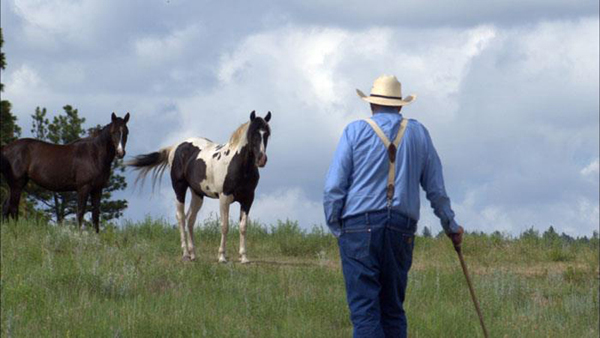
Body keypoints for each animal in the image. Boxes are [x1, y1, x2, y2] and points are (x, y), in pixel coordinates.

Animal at [0, 112, 130, 231]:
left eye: (126, 132)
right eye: (113, 132)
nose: (120, 153)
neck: (94, 154)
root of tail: (6, 148)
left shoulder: (97, 189)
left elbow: (95, 214)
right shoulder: (83, 188)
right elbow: (80, 212)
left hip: (14, 185)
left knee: (6, 207)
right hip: (17, 184)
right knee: (13, 208)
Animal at [130, 111, 274, 264]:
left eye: (267, 134)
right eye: (253, 134)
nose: (262, 159)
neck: (237, 164)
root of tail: (175, 147)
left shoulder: (248, 199)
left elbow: (243, 227)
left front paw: (244, 257)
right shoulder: (224, 198)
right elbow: (225, 226)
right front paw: (222, 256)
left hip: (197, 194)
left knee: (190, 219)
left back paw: (193, 254)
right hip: (179, 188)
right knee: (181, 217)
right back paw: (185, 254)